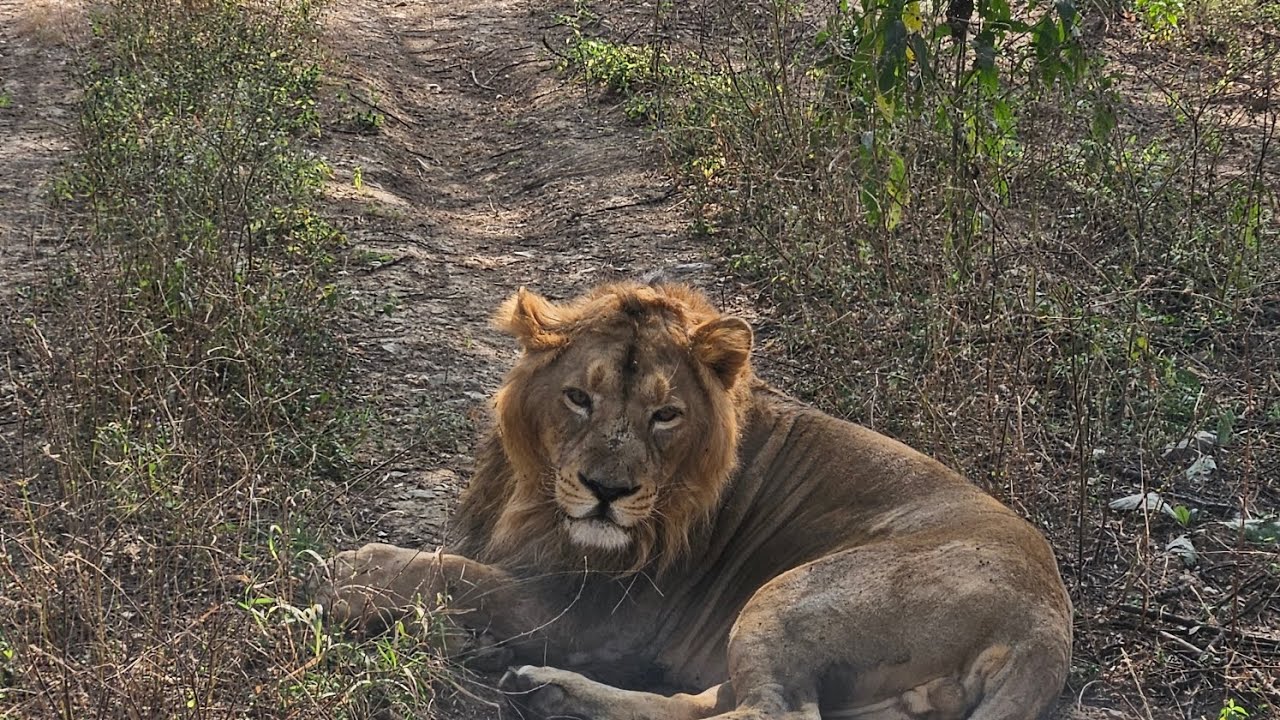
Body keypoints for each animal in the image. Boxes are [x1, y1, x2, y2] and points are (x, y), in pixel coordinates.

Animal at [316, 281, 1073, 720]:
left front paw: (346, 578)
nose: (608, 492)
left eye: (666, 415)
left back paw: (540, 686)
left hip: (791, 594)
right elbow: (460, 564)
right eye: (578, 397)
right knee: (720, 701)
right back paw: (543, 690)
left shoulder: (595, 615)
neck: (535, 494)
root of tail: (1043, 628)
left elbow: (455, 572)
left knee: (773, 715)